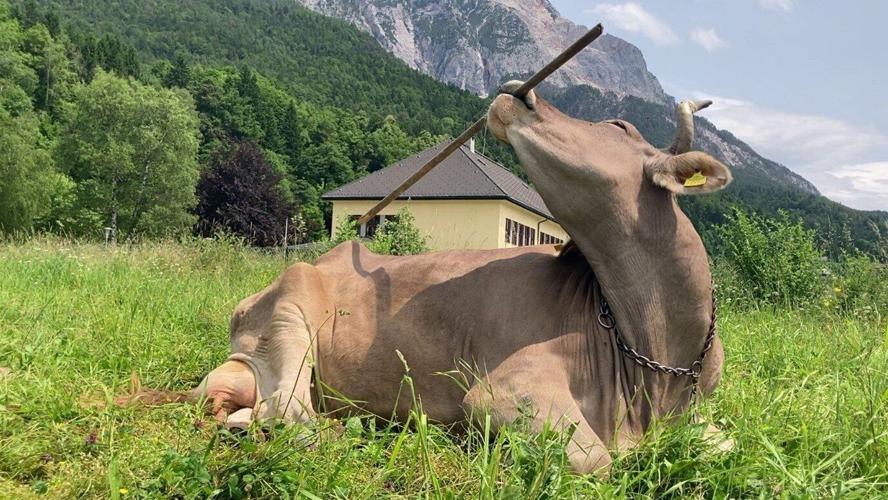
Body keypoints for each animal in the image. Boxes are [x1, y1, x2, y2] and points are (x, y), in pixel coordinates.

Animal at [131, 83, 732, 475]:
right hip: (288, 317)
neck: (655, 361)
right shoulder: (503, 390)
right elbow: (598, 461)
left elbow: (723, 446)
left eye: (617, 126)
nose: (518, 91)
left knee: (253, 411)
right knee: (289, 413)